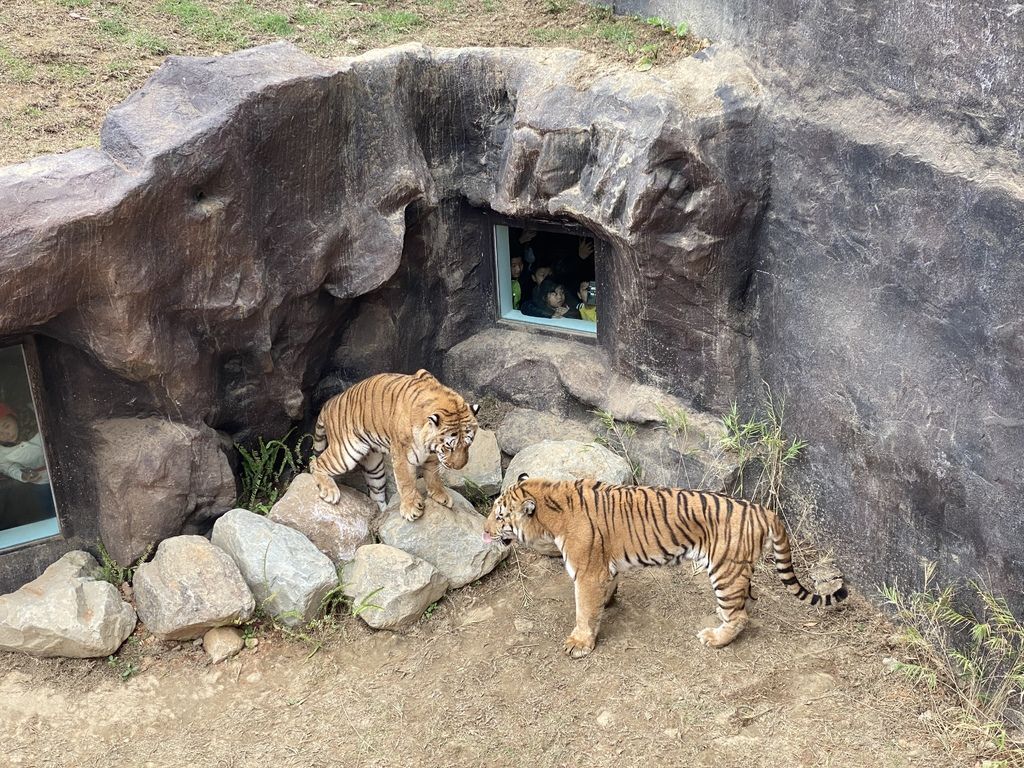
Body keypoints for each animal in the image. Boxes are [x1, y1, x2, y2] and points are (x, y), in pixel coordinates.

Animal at [307, 370, 479, 524]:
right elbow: (406, 482)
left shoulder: (431, 454)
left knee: (375, 493)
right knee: (315, 462)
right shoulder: (403, 455)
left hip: (374, 467)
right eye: (449, 447)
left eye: (468, 444)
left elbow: (433, 475)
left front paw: (440, 495)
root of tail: (329, 403)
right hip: (345, 453)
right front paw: (411, 508)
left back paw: (381, 514)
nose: (459, 466)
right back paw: (329, 491)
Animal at [485, 479, 847, 659]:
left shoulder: (586, 571)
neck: (551, 503)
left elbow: (583, 611)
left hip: (723, 571)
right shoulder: (601, 567)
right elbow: (603, 593)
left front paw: (579, 643)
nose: (485, 531)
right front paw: (607, 603)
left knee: (740, 616)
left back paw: (715, 638)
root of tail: (764, 510)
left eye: (500, 517)